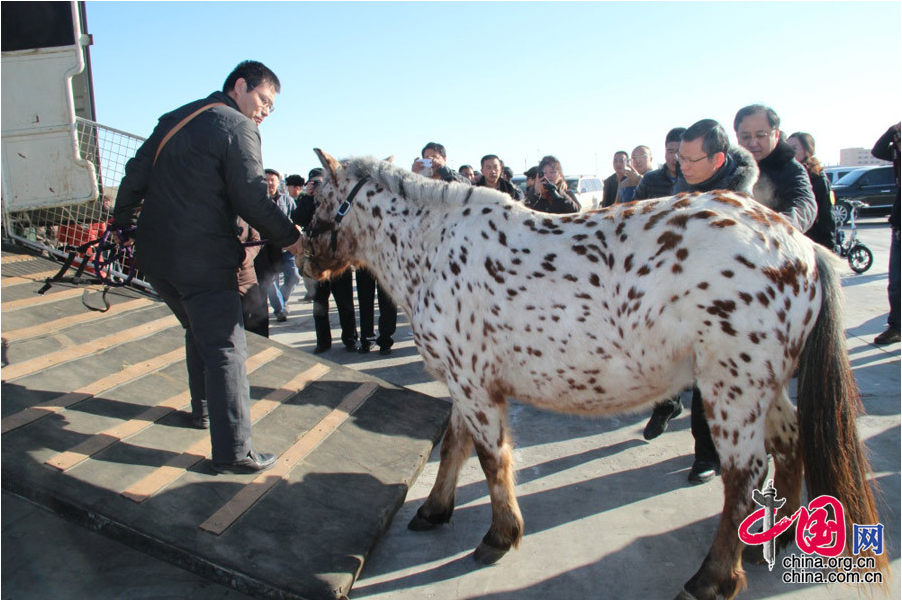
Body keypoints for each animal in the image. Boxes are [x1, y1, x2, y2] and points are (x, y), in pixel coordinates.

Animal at [298, 149, 887, 600]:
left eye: (320, 200)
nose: (301, 258)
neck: (435, 249)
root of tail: (800, 245)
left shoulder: (472, 384)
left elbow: (490, 459)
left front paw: (499, 537)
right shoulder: (467, 386)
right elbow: (457, 448)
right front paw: (435, 510)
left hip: (732, 390)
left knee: (744, 473)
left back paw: (712, 579)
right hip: (764, 387)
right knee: (790, 442)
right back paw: (782, 536)